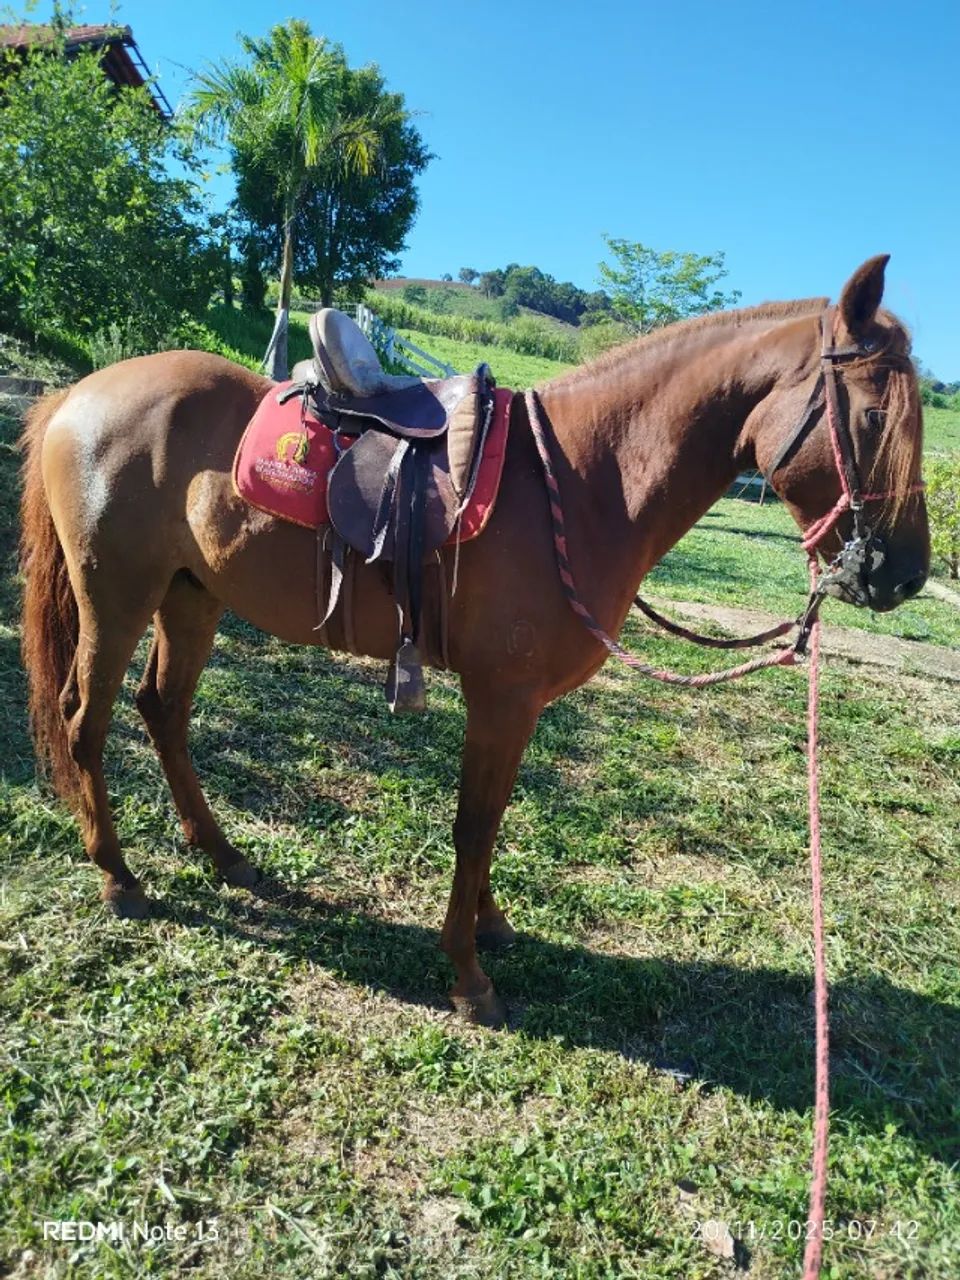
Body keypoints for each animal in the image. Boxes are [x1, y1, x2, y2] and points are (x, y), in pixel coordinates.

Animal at [19, 255, 928, 1027]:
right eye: (874, 413)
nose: (905, 573)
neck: (585, 479)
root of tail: (78, 394)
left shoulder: (515, 707)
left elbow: (492, 817)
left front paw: (489, 925)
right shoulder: (502, 698)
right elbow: (475, 823)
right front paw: (467, 975)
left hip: (191, 598)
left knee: (163, 714)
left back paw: (223, 855)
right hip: (116, 597)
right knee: (85, 722)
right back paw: (119, 877)